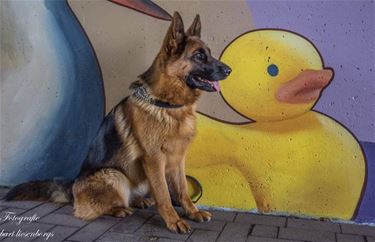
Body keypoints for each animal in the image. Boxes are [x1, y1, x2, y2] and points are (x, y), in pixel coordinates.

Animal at [4, 12, 231, 233]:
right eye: (199, 55)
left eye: (209, 53)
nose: (229, 70)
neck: (168, 105)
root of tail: (73, 185)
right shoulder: (154, 159)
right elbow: (164, 194)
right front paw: (174, 221)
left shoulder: (178, 159)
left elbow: (182, 189)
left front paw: (193, 212)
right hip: (115, 175)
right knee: (89, 209)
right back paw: (119, 209)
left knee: (130, 197)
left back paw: (138, 201)